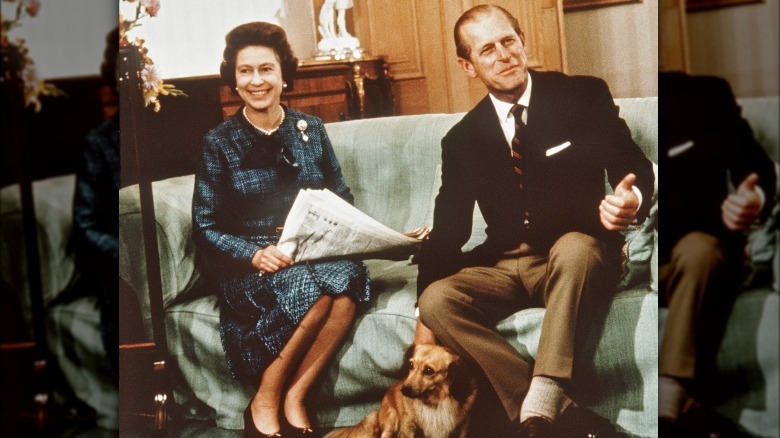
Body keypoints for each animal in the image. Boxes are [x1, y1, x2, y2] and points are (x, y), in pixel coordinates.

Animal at [322, 346, 476, 438]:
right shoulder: (409, 425)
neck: (434, 402)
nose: (404, 390)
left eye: (428, 371)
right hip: (392, 419)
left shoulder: (463, 426)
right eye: (411, 365)